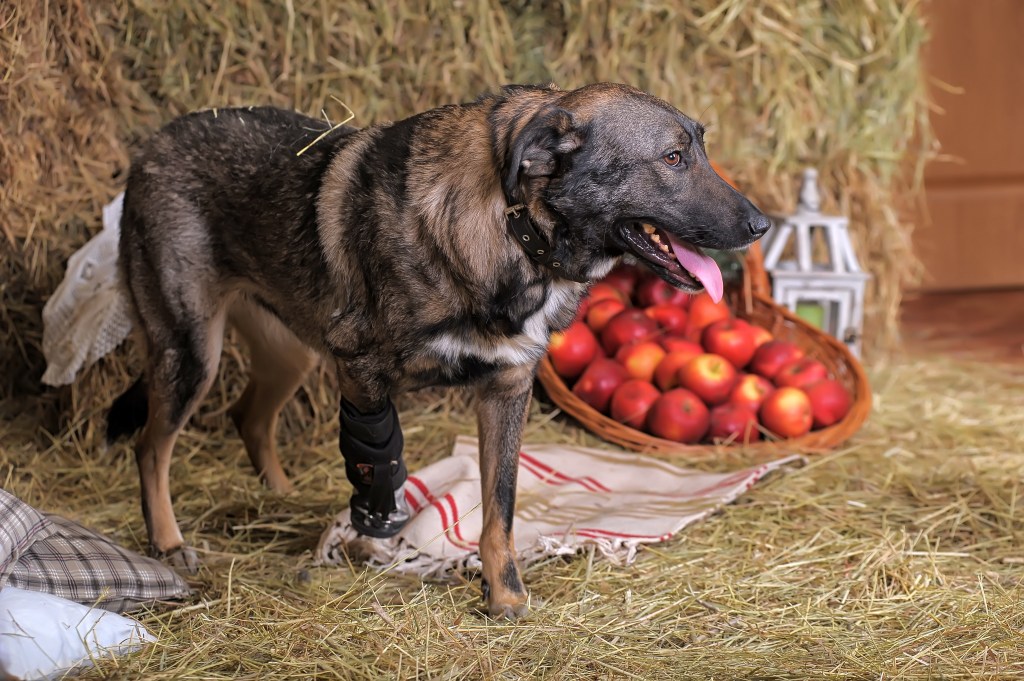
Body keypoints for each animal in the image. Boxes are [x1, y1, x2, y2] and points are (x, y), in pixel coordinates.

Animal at [105, 80, 770, 614]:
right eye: (673, 158)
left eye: (699, 148)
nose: (762, 225)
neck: (515, 228)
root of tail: (153, 143)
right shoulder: (361, 375)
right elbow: (378, 474)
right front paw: (369, 546)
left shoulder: (506, 390)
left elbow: (500, 510)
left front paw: (506, 599)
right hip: (193, 352)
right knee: (150, 446)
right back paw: (169, 542)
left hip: (289, 352)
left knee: (249, 417)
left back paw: (281, 495)